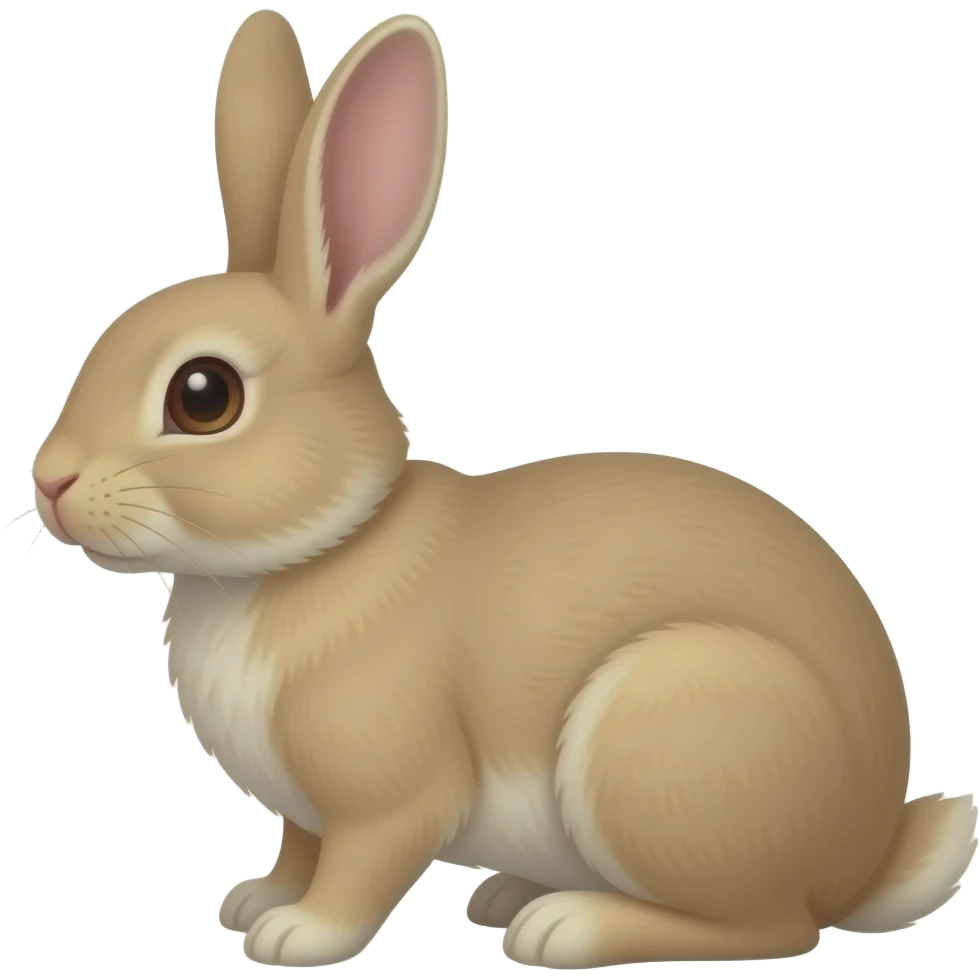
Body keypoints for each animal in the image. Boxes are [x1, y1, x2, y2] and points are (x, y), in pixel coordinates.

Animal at [25, 8, 977, 971]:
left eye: (203, 396)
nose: (49, 479)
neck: (318, 550)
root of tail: (864, 854)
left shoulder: (390, 792)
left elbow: (363, 864)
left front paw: (300, 934)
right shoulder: (307, 810)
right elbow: (301, 847)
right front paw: (256, 899)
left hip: (668, 731)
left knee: (770, 924)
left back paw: (564, 925)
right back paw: (513, 894)